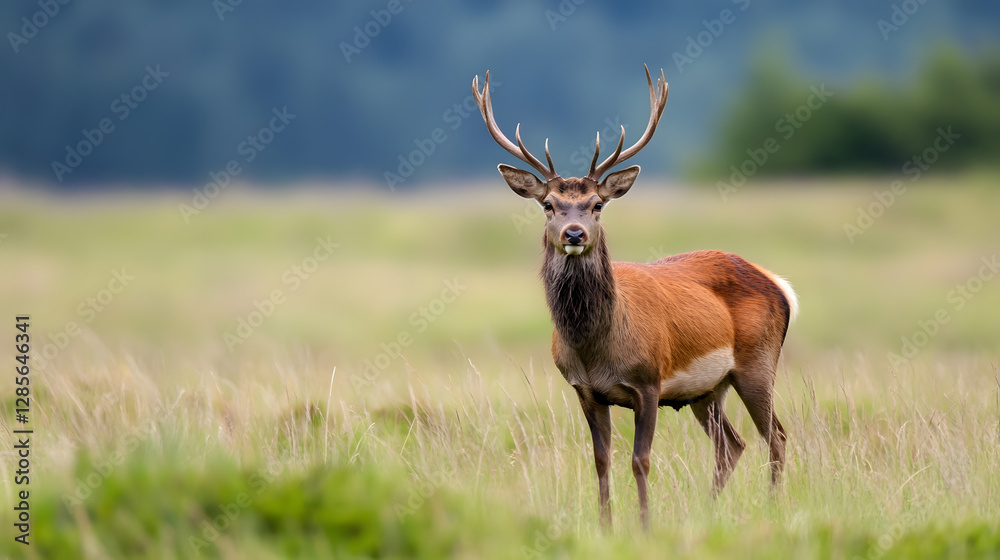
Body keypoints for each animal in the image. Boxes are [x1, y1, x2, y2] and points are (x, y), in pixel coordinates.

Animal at [472, 65, 798, 529]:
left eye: (597, 205)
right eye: (549, 204)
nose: (574, 234)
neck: (597, 347)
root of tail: (778, 283)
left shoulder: (649, 381)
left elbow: (640, 460)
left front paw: (645, 525)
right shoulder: (586, 390)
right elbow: (601, 460)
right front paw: (605, 525)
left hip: (757, 363)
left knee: (777, 436)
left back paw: (771, 507)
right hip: (708, 390)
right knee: (732, 444)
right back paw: (708, 511)